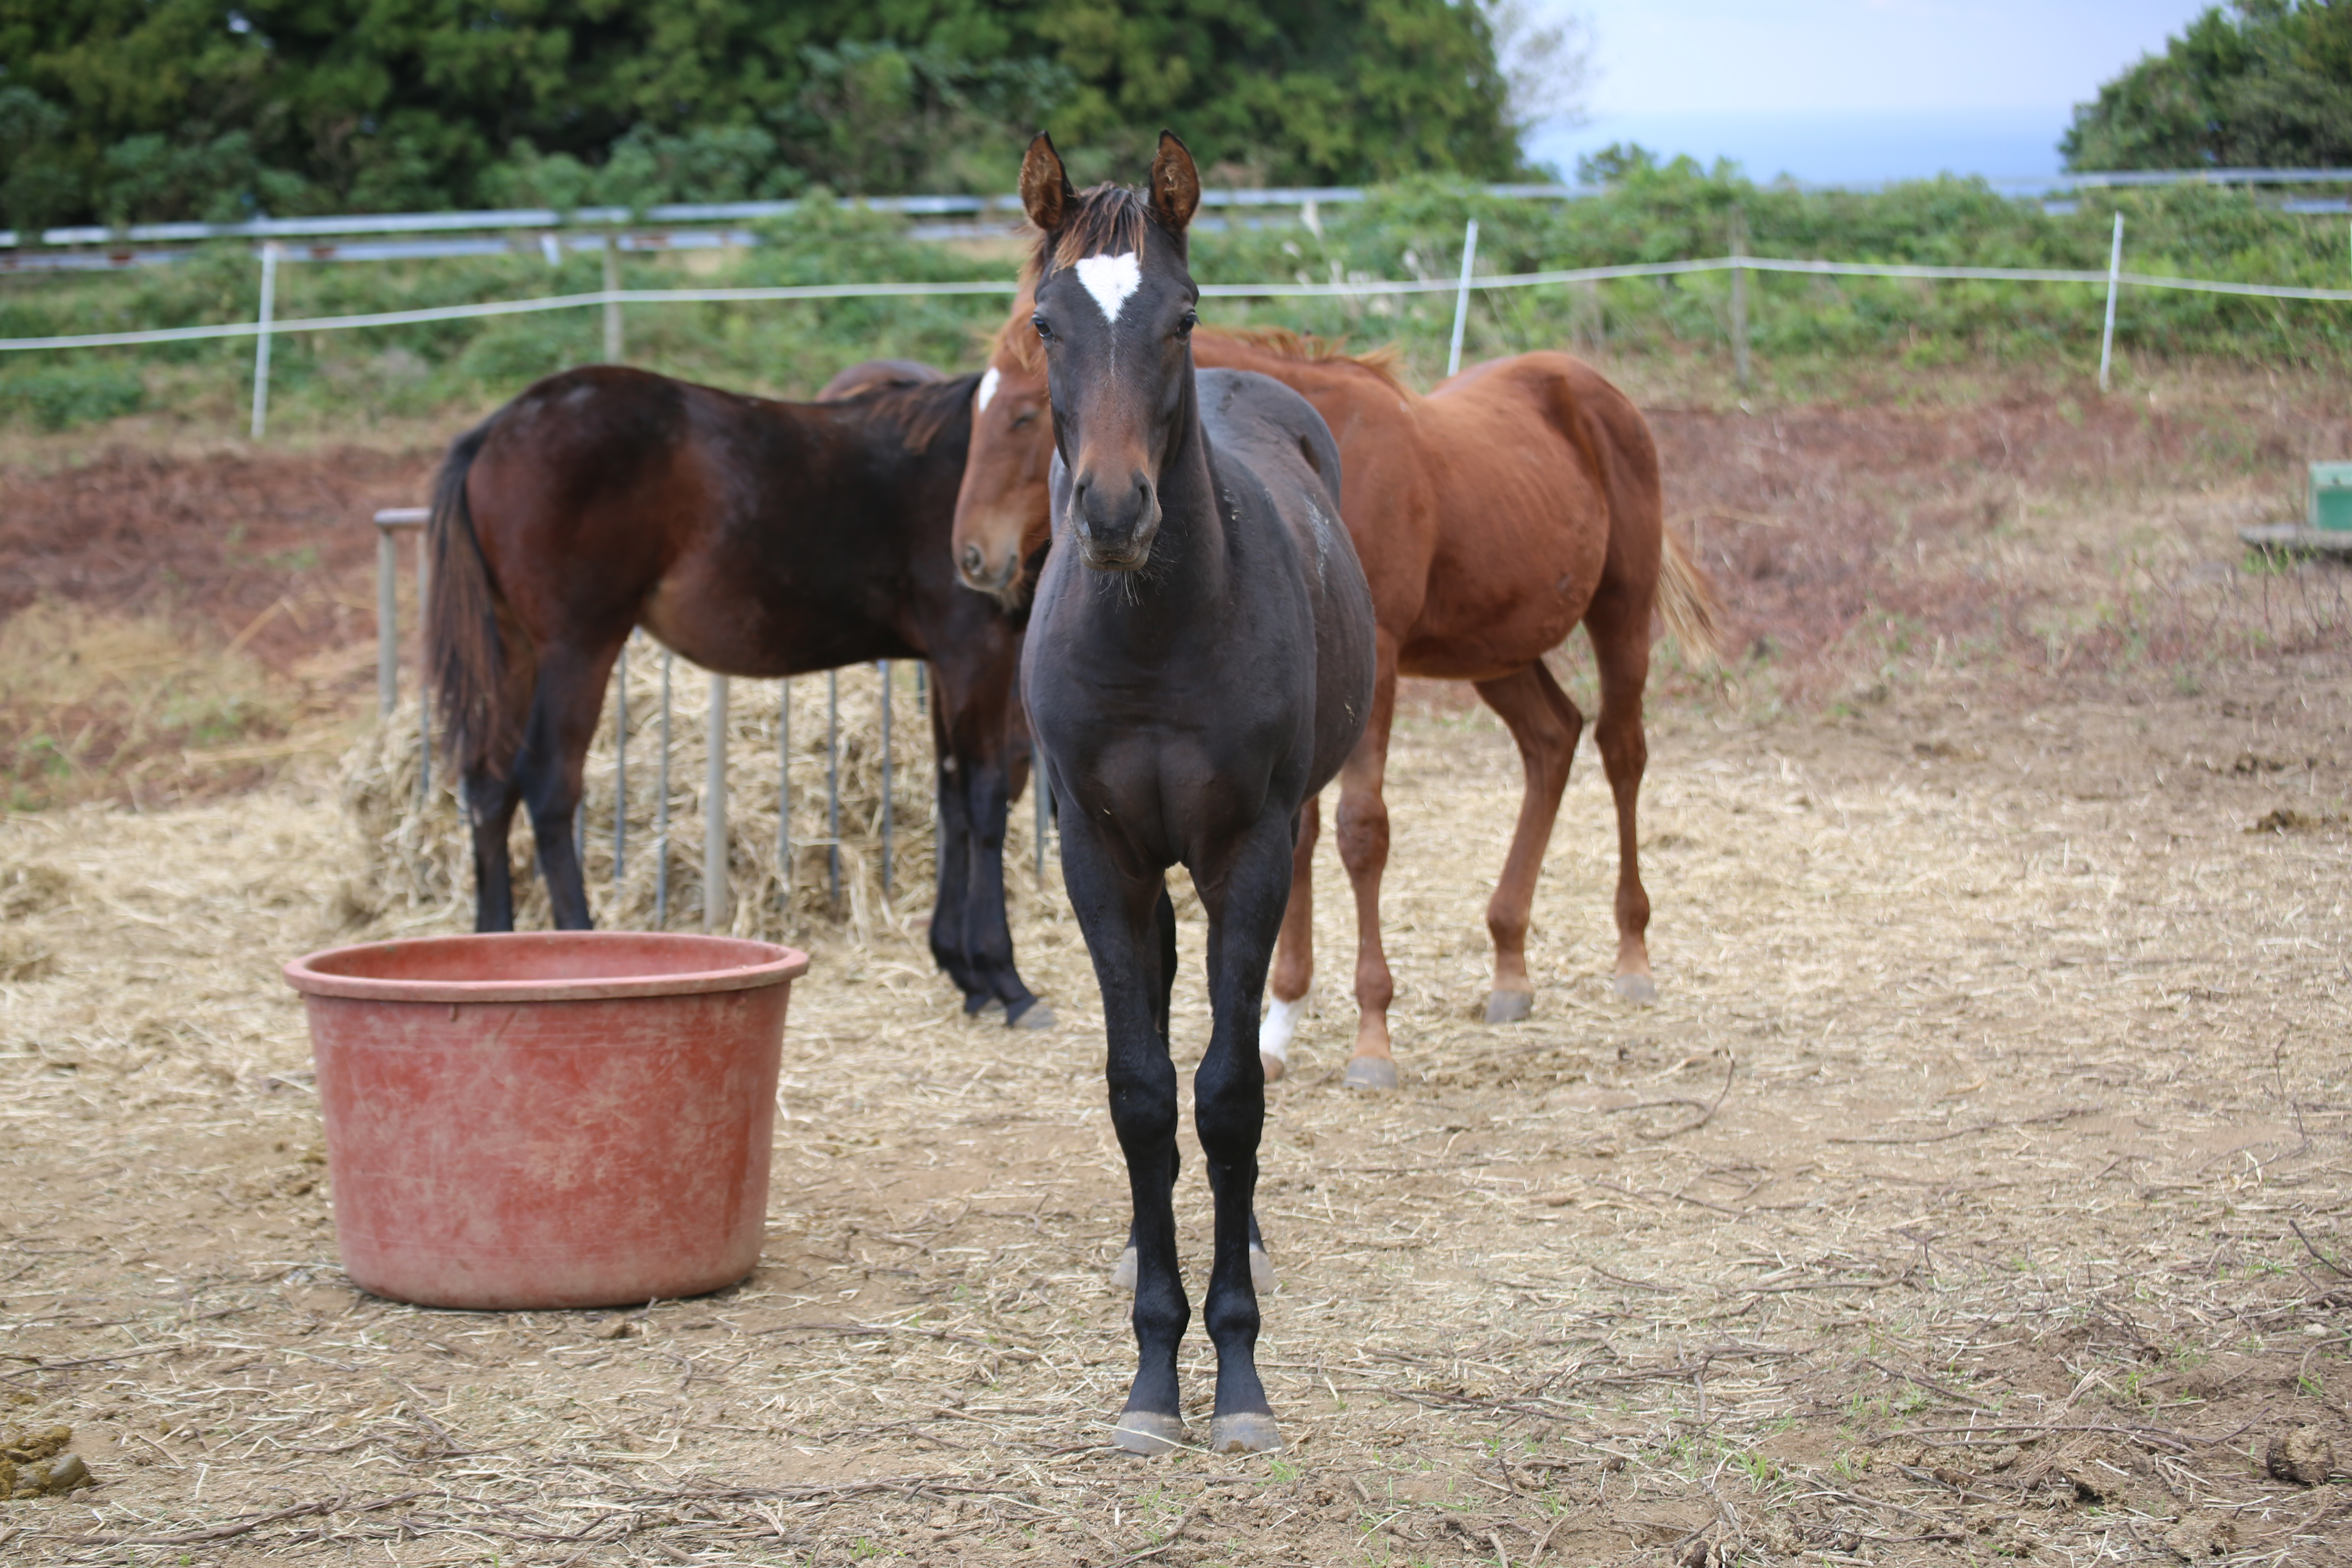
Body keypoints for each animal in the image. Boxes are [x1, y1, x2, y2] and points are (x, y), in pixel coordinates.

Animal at [425, 359, 1049, 1025]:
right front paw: (1004, 976)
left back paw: (491, 945)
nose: (979, 554)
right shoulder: (974, 652)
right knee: (547, 783)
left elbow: (952, 799)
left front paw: (964, 969)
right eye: (1020, 419)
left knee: (489, 785)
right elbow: (985, 800)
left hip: (513, 649)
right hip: (578, 647)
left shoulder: (941, 663)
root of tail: (496, 429)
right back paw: (580, 947)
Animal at [945, 270, 1722, 1086]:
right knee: (1552, 740)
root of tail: (1599, 391)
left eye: (1023, 415)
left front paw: (1371, 1034)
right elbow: (1307, 834)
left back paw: (1632, 955)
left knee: (1622, 751)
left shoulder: (1377, 667)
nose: (973, 555)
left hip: (1620, 612)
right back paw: (1510, 965)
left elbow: (1360, 831)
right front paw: (1280, 1020)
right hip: (1495, 653)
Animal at [1016, 135, 1373, 1457]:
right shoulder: (1101, 859)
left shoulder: (1248, 851)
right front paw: (1149, 1376)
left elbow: (1227, 1097)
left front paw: (1236, 1374)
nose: (1116, 510)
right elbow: (1140, 1096)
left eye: (1181, 315)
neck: (1156, 634)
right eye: (1048, 321)